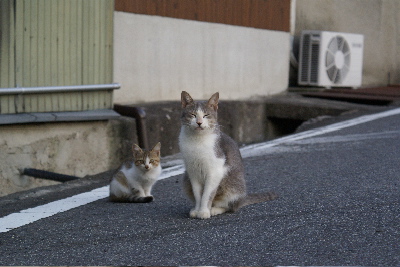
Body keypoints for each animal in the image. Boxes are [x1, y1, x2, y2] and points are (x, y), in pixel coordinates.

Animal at [180, 92, 276, 220]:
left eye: (206, 115)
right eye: (193, 114)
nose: (199, 122)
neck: (197, 141)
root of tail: (242, 199)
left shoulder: (215, 170)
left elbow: (207, 194)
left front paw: (204, 211)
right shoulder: (192, 172)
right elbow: (198, 194)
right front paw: (197, 210)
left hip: (232, 186)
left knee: (230, 206)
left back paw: (214, 209)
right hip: (186, 180)